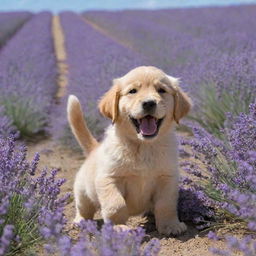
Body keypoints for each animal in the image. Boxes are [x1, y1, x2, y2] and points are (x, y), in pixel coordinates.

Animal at [67, 66, 191, 236]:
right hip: (82, 192)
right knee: (83, 209)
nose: (149, 103)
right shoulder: (109, 178)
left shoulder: (167, 178)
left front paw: (170, 225)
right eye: (133, 91)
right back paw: (81, 221)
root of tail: (94, 149)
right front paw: (118, 227)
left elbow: (166, 205)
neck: (144, 146)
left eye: (161, 90)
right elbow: (116, 205)